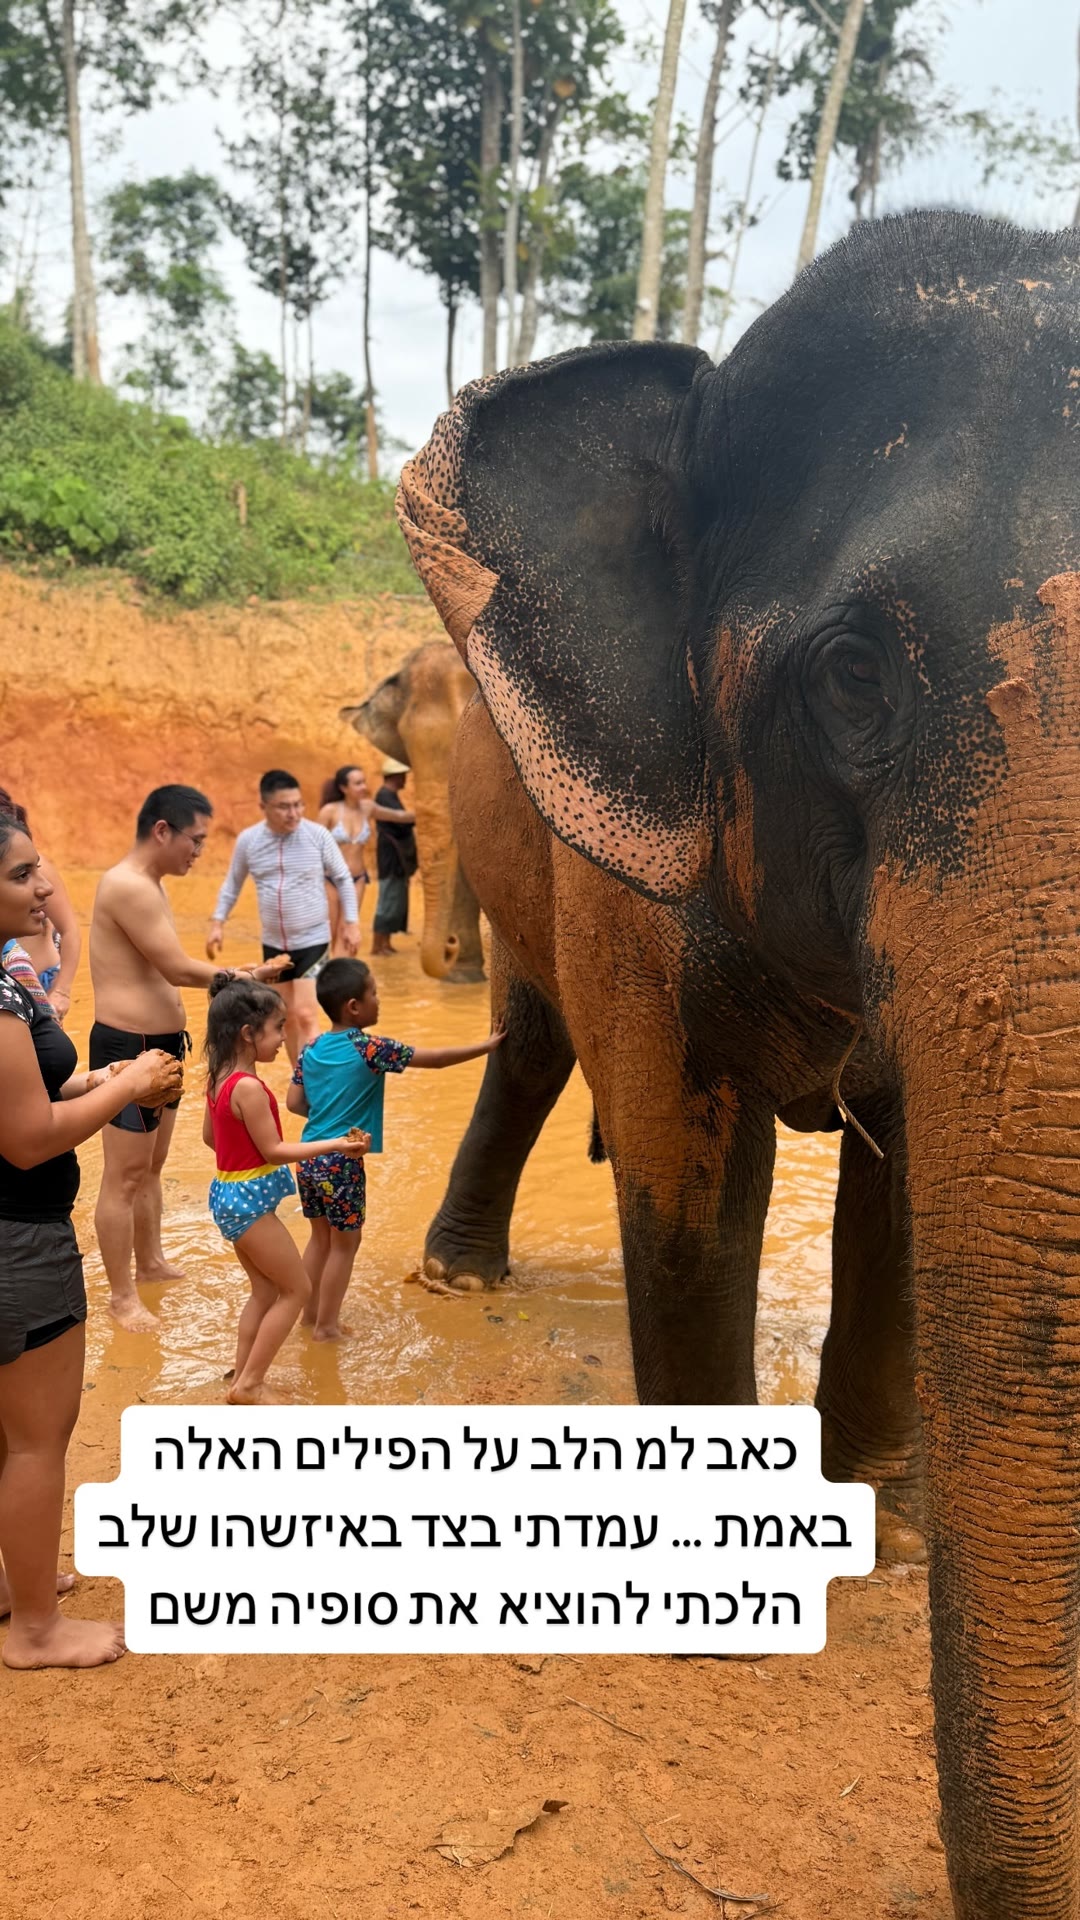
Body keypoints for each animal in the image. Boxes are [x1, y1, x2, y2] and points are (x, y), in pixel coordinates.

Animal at [395, 211, 1080, 1920]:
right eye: (853, 675)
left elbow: (902, 1180)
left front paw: (883, 1523)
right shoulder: (633, 860)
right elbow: (687, 1144)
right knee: (537, 1046)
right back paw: (458, 1279)